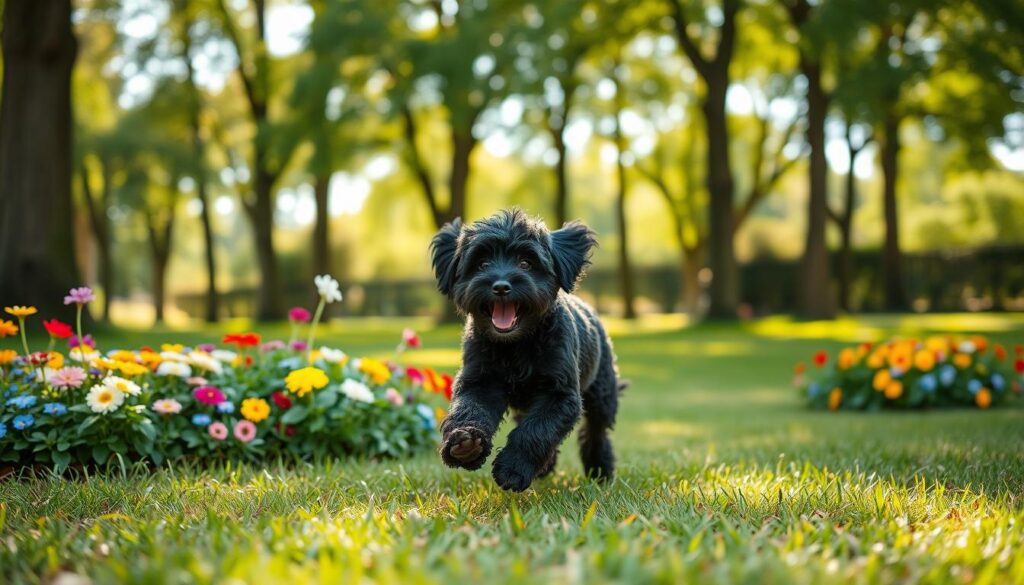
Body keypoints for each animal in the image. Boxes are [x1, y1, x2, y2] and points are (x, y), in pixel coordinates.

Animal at [425, 207, 618, 491]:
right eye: (482, 264)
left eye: (526, 263)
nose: (501, 286)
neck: (516, 347)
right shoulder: (479, 381)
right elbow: (468, 409)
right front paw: (466, 444)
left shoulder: (560, 394)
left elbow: (536, 431)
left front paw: (513, 469)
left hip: (602, 397)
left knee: (595, 432)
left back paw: (600, 470)